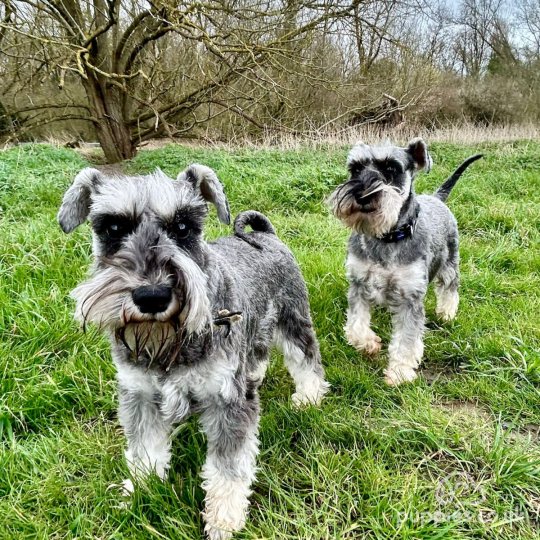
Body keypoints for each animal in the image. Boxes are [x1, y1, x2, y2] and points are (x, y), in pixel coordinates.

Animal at [59, 165, 330, 540]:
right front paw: (141, 492)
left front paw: (223, 519)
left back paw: (310, 396)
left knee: (305, 357)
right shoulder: (139, 395)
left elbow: (228, 468)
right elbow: (145, 450)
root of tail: (266, 235)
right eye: (113, 228)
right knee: (257, 355)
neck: (169, 343)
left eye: (183, 227)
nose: (152, 296)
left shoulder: (227, 399)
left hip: (292, 318)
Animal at [326, 137, 484, 386]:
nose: (362, 195)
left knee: (450, 288)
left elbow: (407, 339)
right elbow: (355, 325)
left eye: (391, 168)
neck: (386, 237)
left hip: (450, 262)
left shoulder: (411, 295)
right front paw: (369, 344)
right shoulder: (358, 284)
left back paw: (446, 313)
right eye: (356, 169)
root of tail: (436, 197)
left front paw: (399, 372)